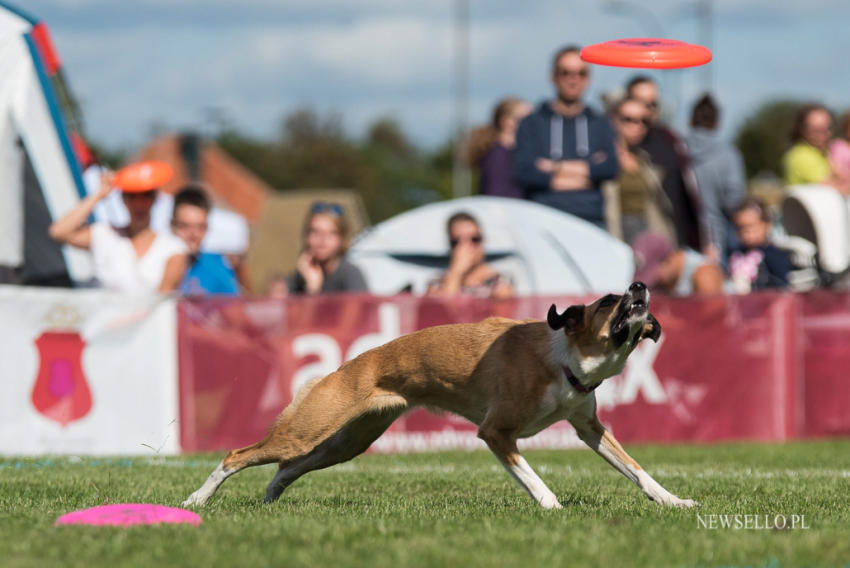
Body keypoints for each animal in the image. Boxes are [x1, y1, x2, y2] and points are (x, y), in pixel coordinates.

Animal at [182, 284, 692, 510]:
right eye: (608, 302)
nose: (640, 286)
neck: (564, 356)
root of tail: (346, 366)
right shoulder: (496, 433)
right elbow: (532, 477)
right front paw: (552, 507)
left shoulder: (590, 428)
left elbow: (637, 470)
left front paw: (673, 501)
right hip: (310, 430)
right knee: (236, 455)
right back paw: (195, 501)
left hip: (343, 443)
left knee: (286, 469)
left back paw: (270, 499)